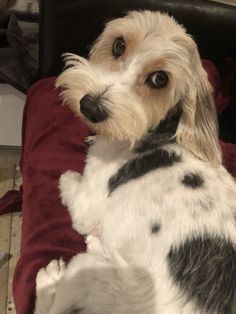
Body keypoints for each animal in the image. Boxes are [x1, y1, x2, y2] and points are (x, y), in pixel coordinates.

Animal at [34, 10, 236, 314]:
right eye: (118, 45)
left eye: (159, 79)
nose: (90, 107)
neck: (161, 131)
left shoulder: (87, 203)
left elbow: (69, 185)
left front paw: (68, 177)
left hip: (91, 276)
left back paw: (50, 279)